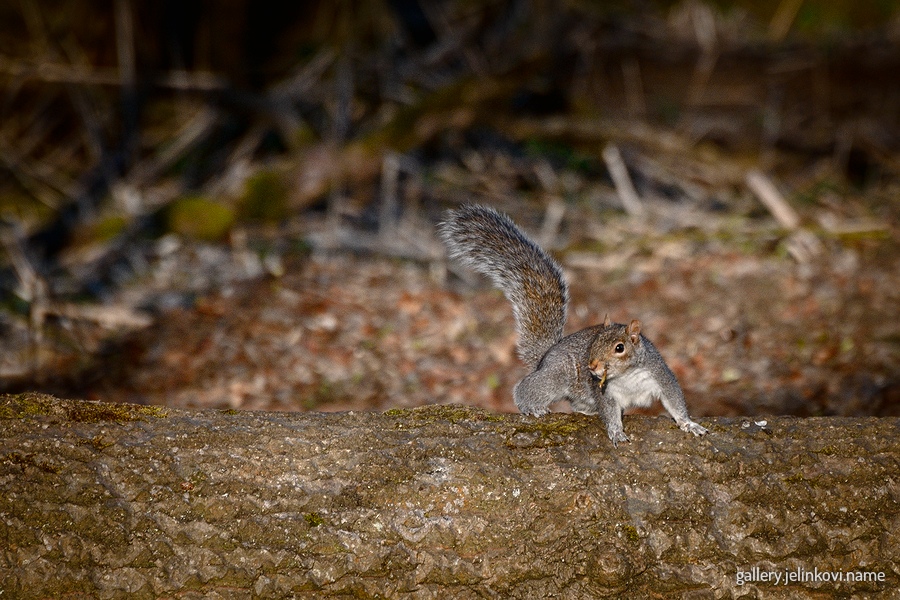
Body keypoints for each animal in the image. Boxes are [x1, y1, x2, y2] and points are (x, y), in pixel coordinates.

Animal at [438, 204, 708, 446]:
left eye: (619, 348)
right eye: (593, 343)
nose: (592, 365)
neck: (627, 376)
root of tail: (545, 357)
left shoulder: (660, 376)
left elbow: (675, 402)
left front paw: (689, 424)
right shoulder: (605, 392)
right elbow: (609, 412)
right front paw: (616, 432)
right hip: (557, 376)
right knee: (527, 387)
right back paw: (532, 407)